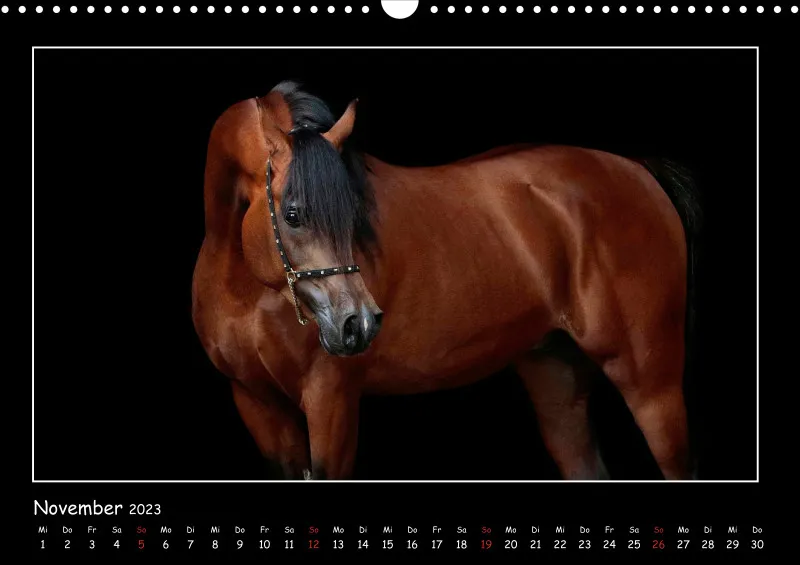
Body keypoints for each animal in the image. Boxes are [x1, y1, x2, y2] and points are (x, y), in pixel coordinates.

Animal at [191, 80, 701, 480]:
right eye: (293, 215)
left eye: (354, 215)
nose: (358, 323)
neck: (246, 289)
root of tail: (635, 169)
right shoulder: (256, 404)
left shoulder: (330, 400)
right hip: (555, 374)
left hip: (650, 383)